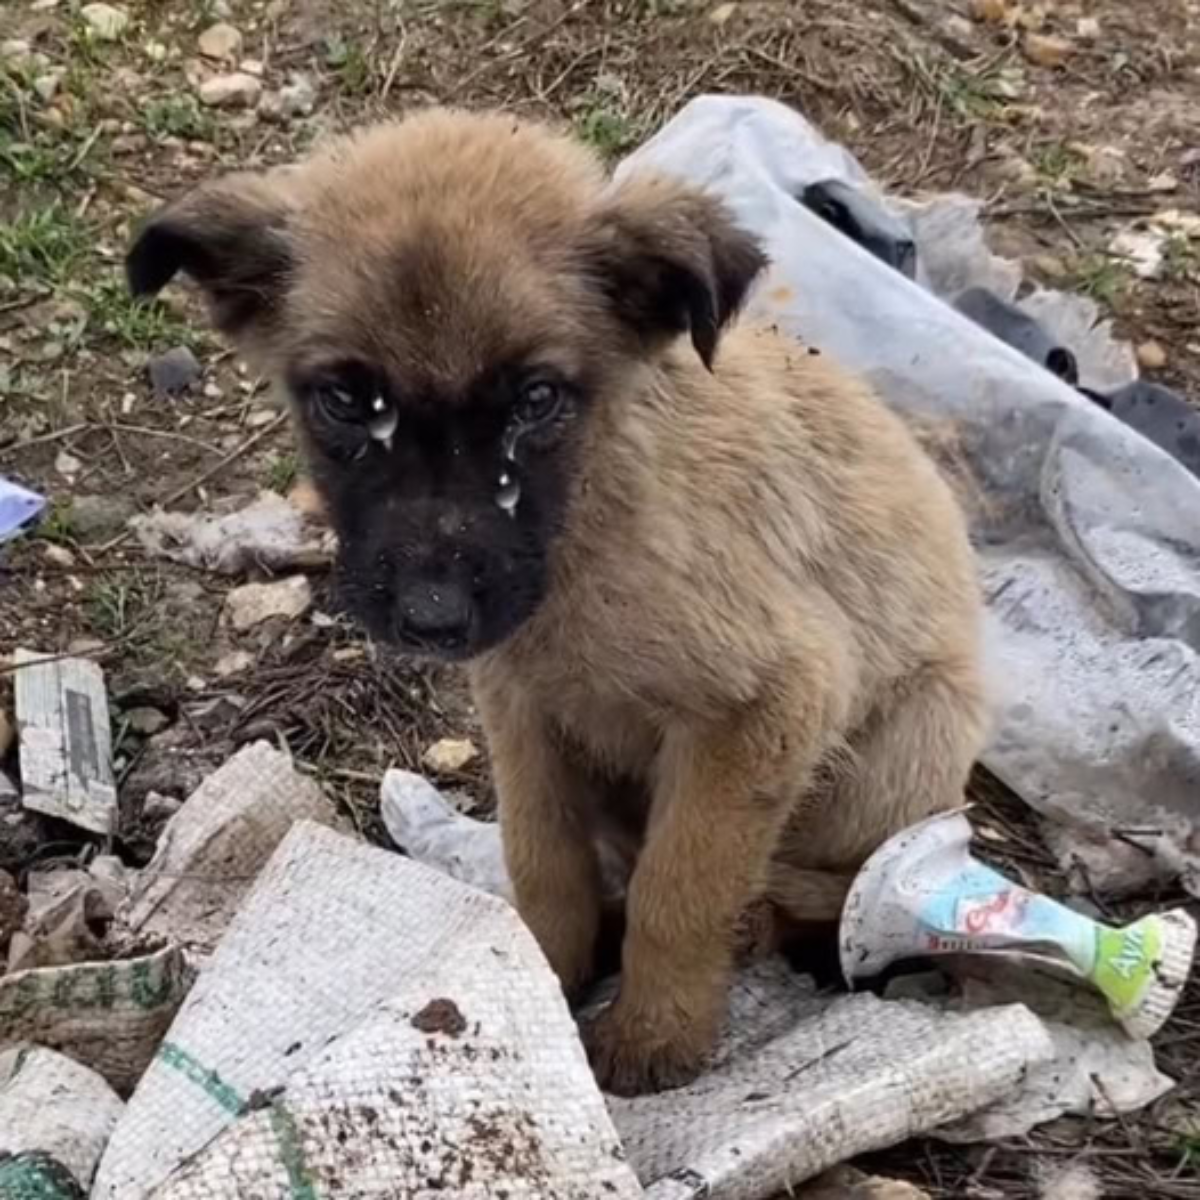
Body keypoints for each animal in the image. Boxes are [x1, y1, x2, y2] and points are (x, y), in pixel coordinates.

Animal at [126, 110, 988, 1099]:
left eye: (537, 400)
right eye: (344, 401)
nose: (431, 617)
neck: (590, 518)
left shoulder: (769, 705)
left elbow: (680, 887)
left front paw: (657, 1032)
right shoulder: (523, 707)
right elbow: (545, 863)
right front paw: (532, 971)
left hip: (911, 741)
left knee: (835, 884)